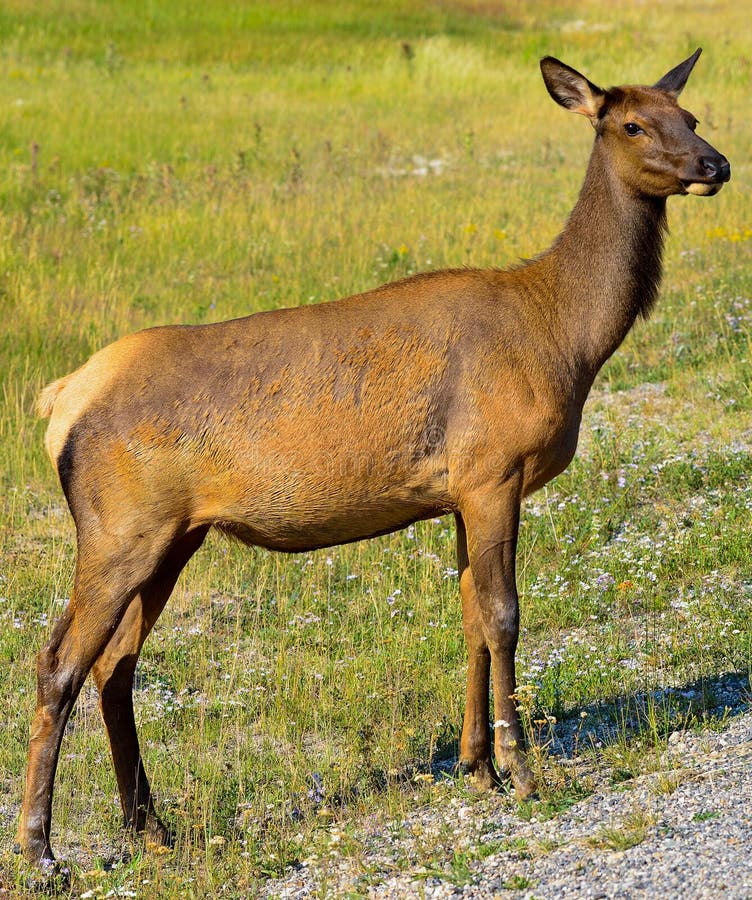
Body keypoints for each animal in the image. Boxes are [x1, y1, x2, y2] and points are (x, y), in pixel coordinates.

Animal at [16, 49, 729, 870]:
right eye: (633, 123)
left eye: (692, 115)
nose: (716, 163)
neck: (566, 336)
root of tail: (59, 401)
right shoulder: (494, 470)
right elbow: (504, 617)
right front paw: (521, 771)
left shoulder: (461, 492)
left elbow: (470, 617)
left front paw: (475, 764)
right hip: (119, 526)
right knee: (58, 662)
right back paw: (40, 849)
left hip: (173, 535)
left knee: (116, 666)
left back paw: (150, 827)